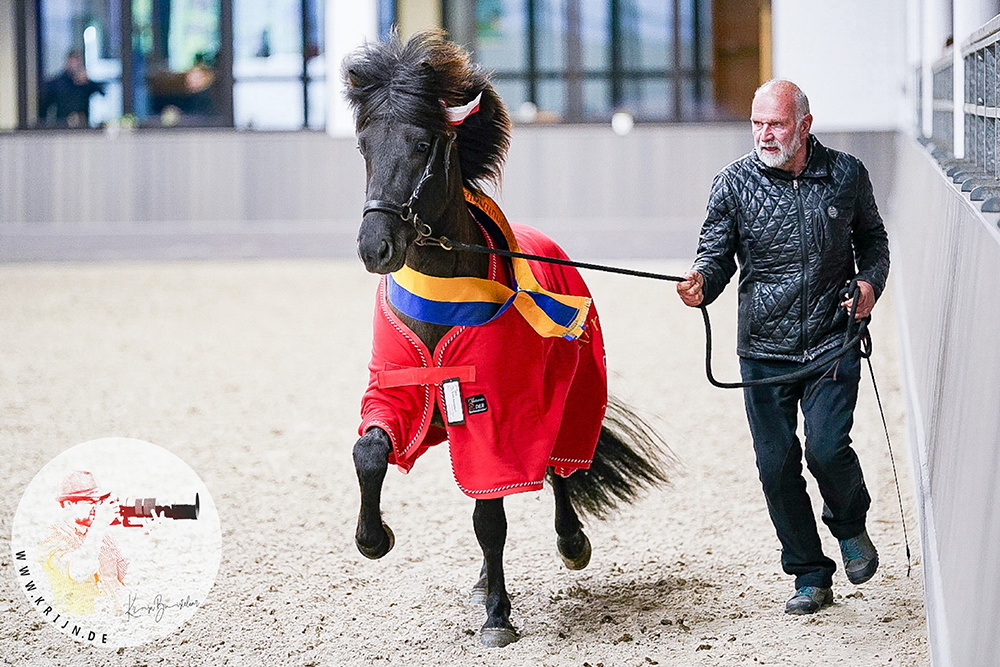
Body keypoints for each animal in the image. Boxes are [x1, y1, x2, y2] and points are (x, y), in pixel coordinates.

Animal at [342, 30, 672, 648]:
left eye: (421, 144)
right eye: (364, 146)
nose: (376, 247)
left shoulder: (497, 418)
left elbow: (490, 515)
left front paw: (498, 616)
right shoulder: (397, 392)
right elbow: (370, 452)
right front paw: (374, 540)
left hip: (568, 399)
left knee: (559, 467)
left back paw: (571, 542)